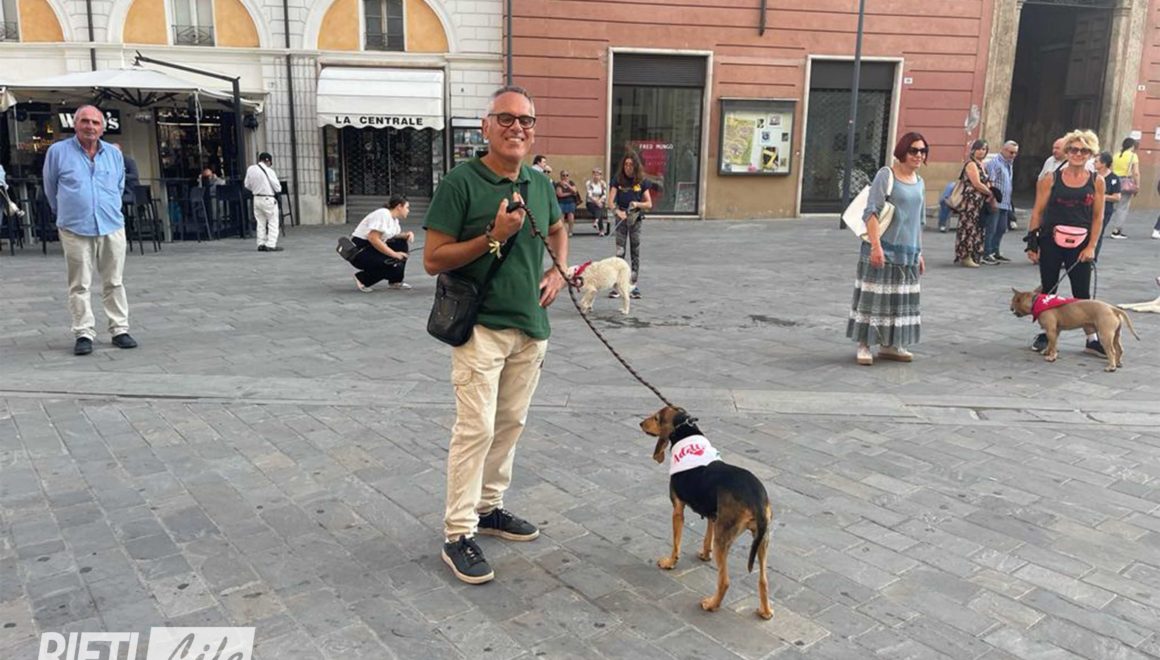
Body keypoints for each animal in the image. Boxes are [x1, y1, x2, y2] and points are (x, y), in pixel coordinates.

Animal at [640, 405, 773, 620]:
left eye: (657, 418)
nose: (640, 423)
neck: (687, 433)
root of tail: (756, 499)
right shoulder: (713, 515)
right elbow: (706, 536)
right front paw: (704, 554)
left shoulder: (677, 510)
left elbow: (676, 543)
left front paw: (670, 562)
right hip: (762, 539)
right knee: (763, 580)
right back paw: (765, 612)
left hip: (724, 539)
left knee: (724, 581)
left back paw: (711, 604)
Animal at [1010, 287, 1139, 372]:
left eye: (1014, 301)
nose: (1010, 308)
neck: (1036, 302)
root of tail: (1112, 308)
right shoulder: (1055, 331)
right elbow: (1051, 344)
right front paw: (1047, 351)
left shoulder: (1051, 330)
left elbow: (1053, 345)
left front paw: (1052, 357)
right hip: (1115, 335)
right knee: (1119, 349)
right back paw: (1117, 363)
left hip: (1105, 335)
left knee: (1111, 351)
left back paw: (1111, 366)